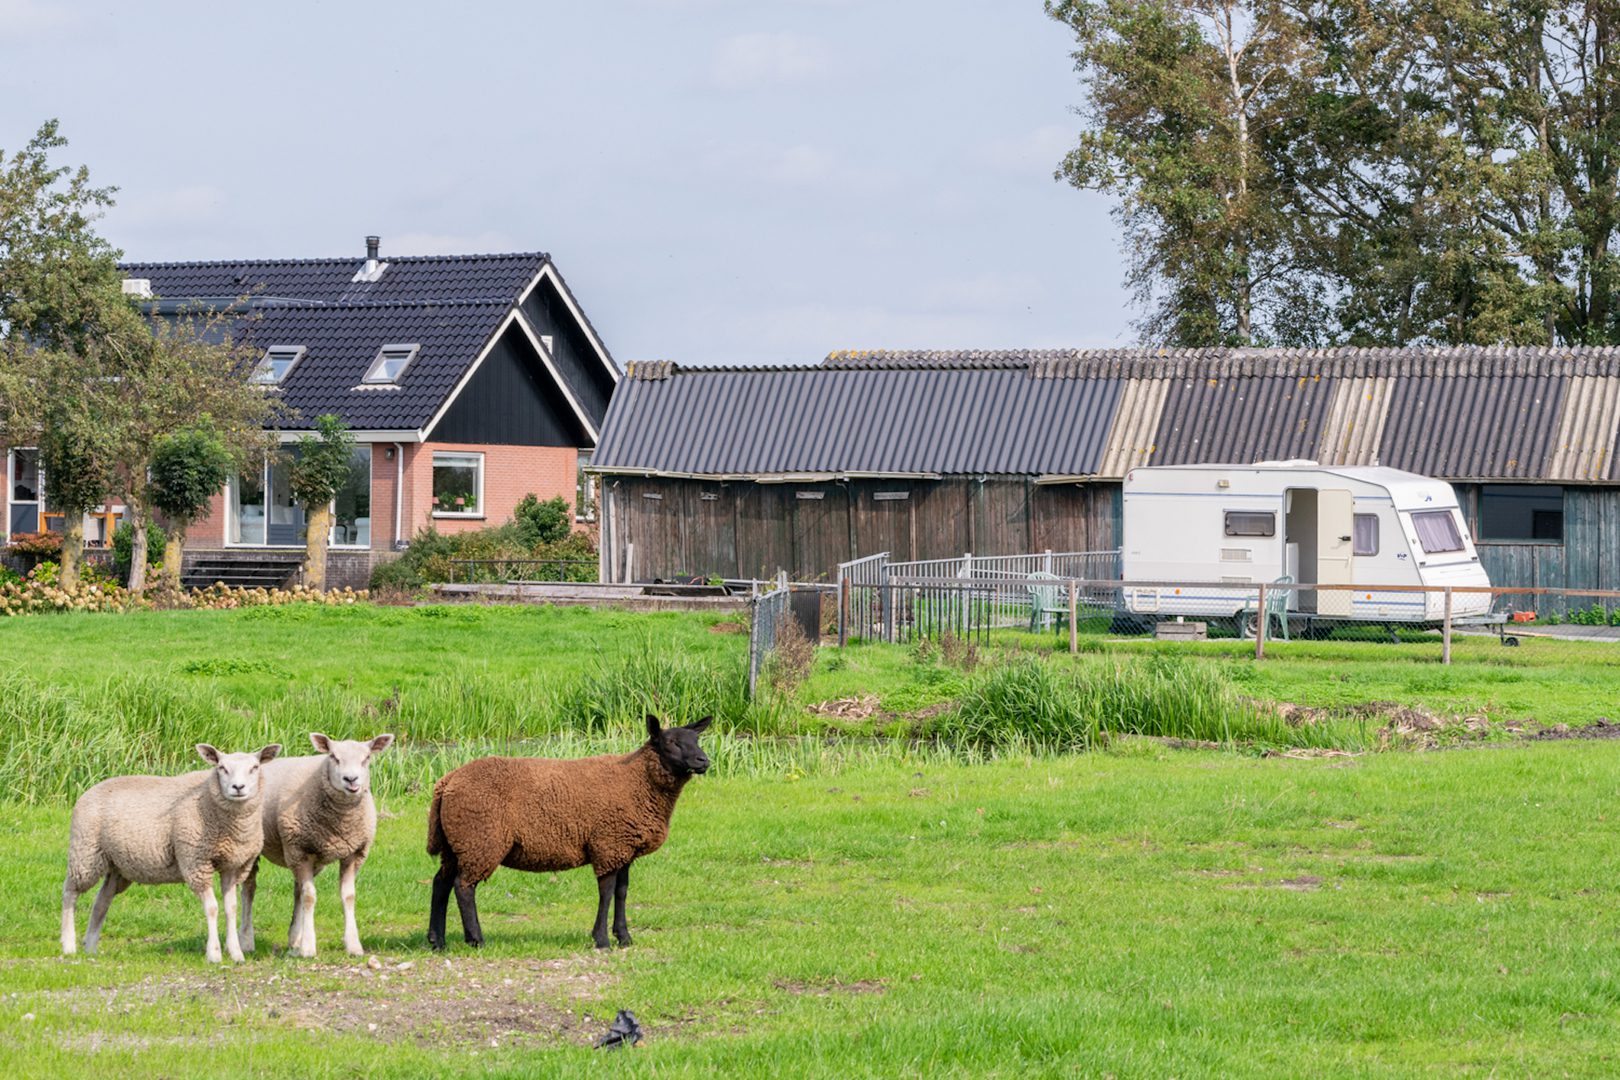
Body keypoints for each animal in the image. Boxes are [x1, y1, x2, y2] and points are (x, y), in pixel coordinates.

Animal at [59, 744, 280, 965]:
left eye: (255, 767)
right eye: (222, 768)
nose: (238, 787)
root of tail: (89, 789)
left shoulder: (232, 866)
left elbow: (231, 908)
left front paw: (236, 953)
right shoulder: (195, 862)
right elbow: (212, 908)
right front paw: (214, 953)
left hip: (118, 867)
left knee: (101, 901)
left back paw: (90, 947)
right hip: (85, 853)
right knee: (70, 892)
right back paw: (68, 944)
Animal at [238, 731, 393, 958]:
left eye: (366, 758)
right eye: (334, 757)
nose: (351, 779)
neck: (341, 824)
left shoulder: (353, 853)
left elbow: (348, 896)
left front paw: (353, 945)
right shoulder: (300, 851)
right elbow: (310, 897)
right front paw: (309, 947)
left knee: (297, 890)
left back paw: (295, 938)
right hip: (258, 846)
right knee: (249, 888)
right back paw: (247, 941)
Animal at [427, 718, 712, 952]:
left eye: (696, 740)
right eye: (671, 742)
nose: (704, 761)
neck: (638, 780)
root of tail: (447, 782)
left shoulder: (624, 847)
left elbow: (622, 892)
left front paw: (624, 937)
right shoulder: (608, 843)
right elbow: (607, 891)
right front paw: (602, 940)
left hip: (457, 843)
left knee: (441, 882)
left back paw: (437, 941)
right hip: (481, 839)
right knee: (463, 887)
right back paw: (476, 940)